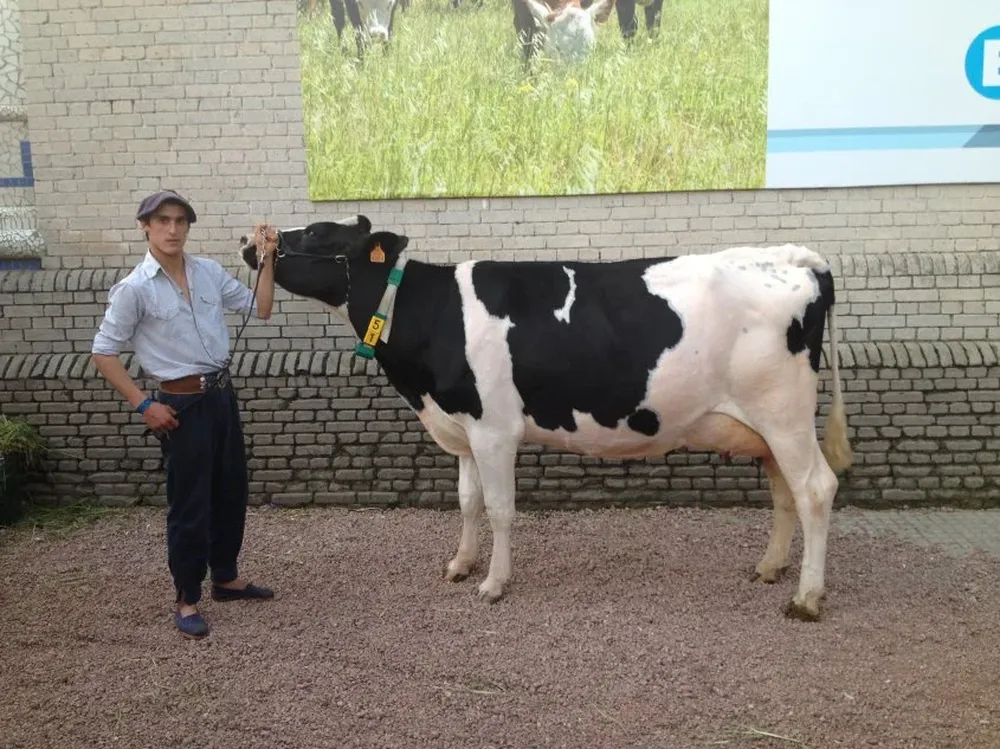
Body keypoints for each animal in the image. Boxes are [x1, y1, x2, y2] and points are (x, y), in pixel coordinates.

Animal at [239, 216, 853, 622]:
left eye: (317, 235)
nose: (250, 241)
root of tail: (795, 257)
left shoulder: (493, 430)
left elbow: (501, 510)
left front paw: (493, 583)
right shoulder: (463, 428)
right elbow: (468, 502)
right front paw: (461, 564)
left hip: (784, 413)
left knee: (815, 489)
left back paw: (806, 598)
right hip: (766, 426)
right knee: (784, 492)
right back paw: (769, 568)